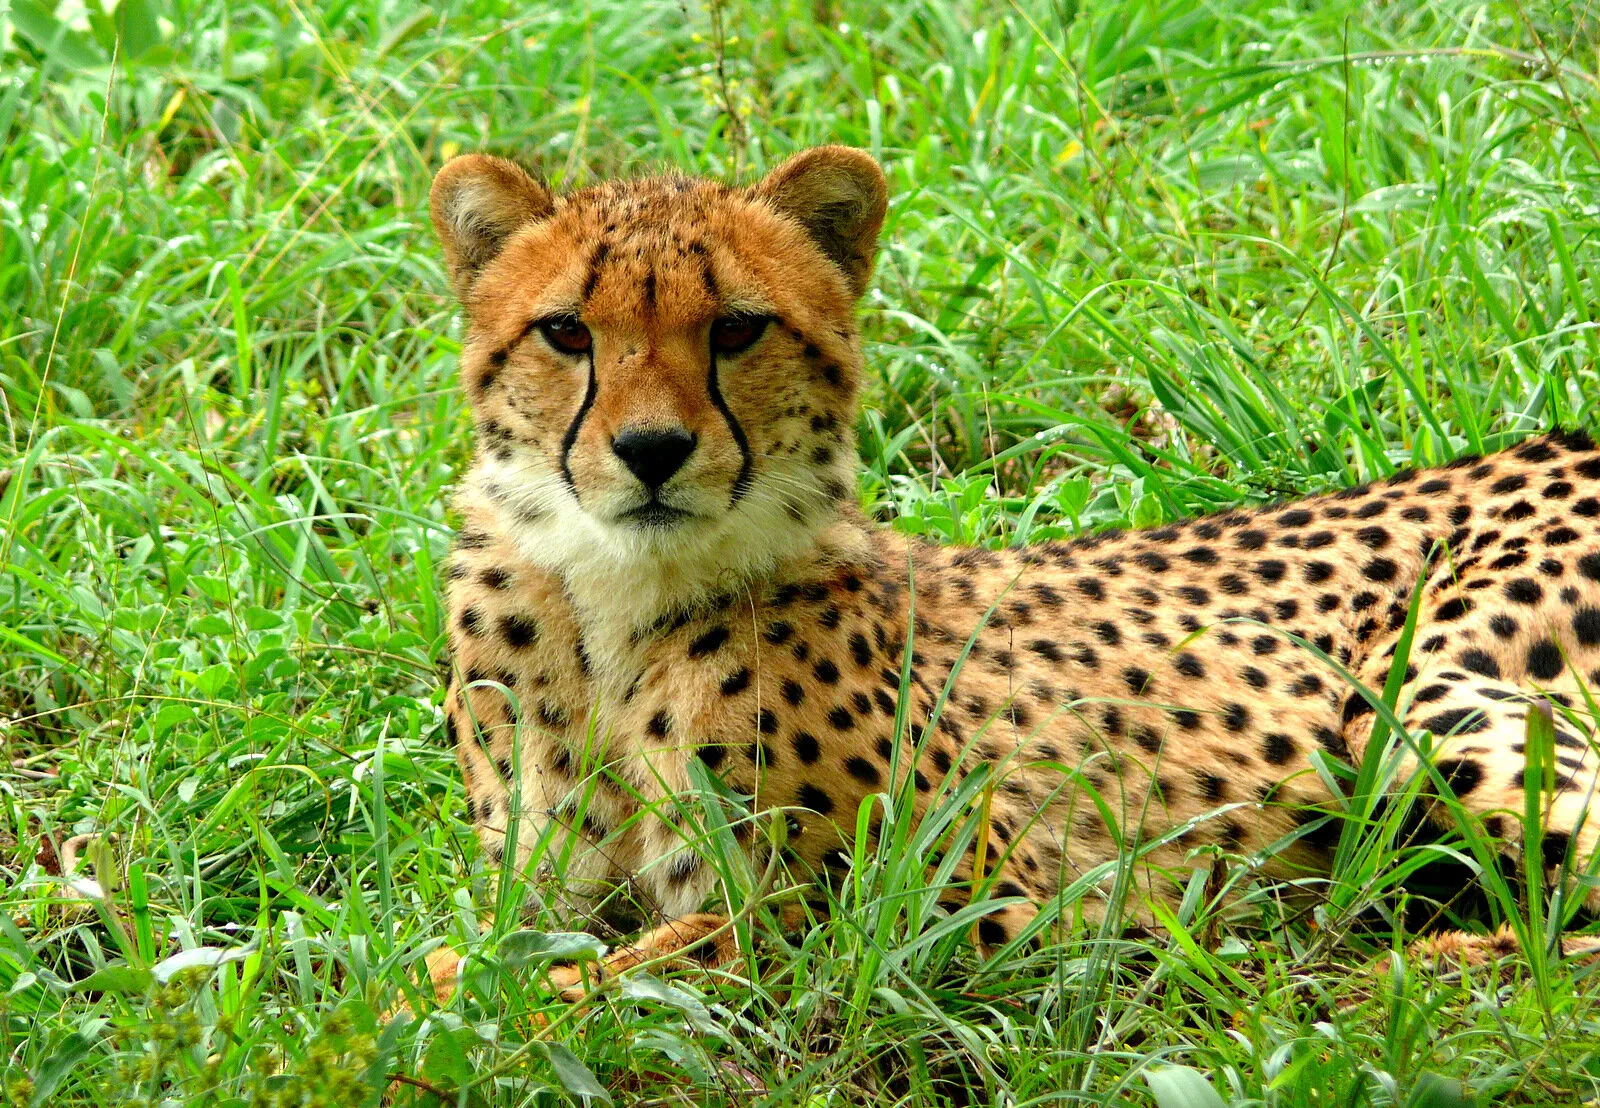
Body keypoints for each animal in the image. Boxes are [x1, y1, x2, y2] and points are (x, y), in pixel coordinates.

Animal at [422, 144, 1600, 999]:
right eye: (566, 331)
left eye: (738, 329)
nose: (652, 450)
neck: (612, 604)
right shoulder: (549, 888)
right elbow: (508, 950)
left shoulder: (976, 910)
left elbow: (609, 971)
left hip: (1412, 703)